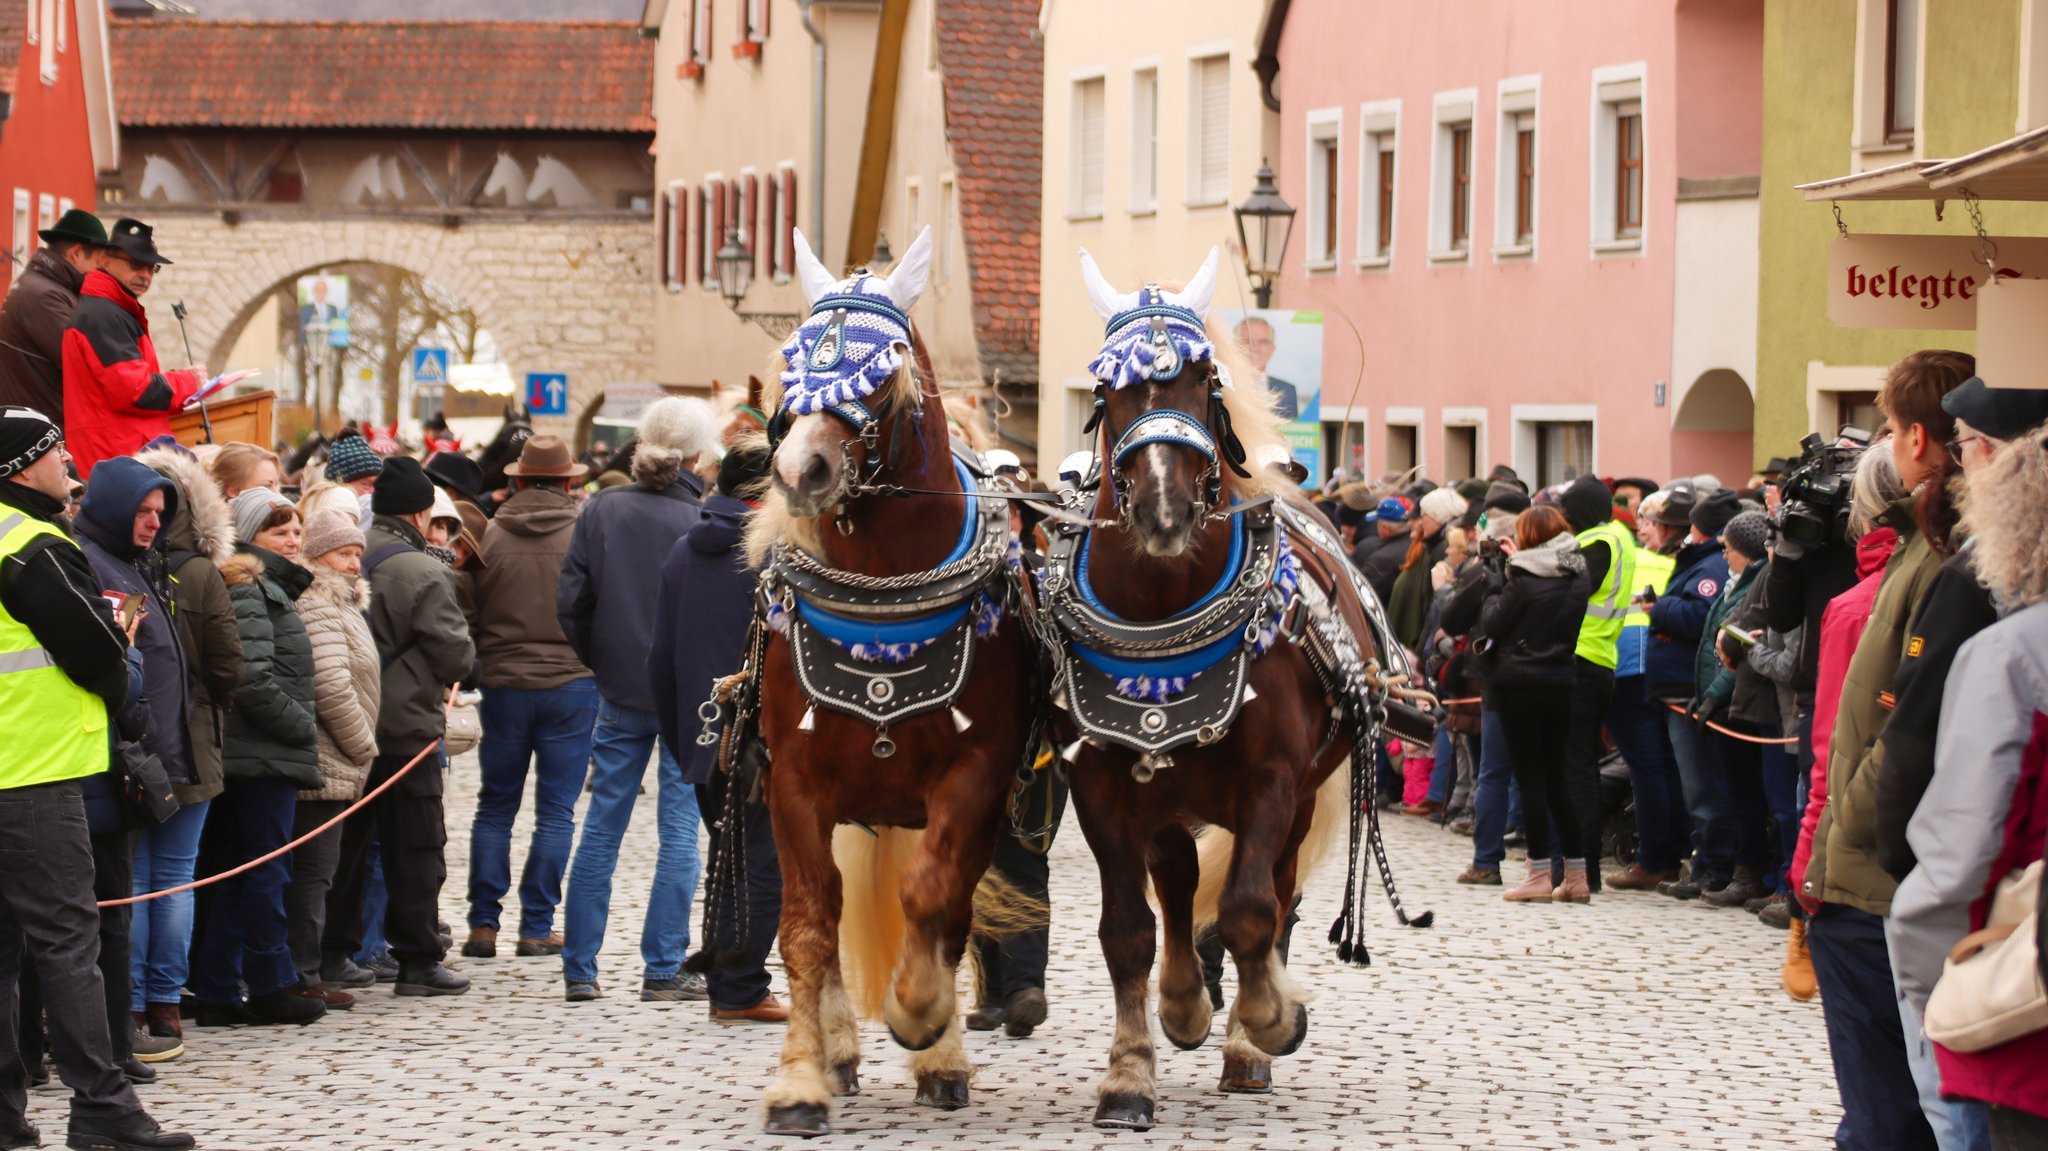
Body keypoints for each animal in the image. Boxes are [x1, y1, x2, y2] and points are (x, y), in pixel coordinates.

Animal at [749, 228, 1040, 1130]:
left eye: (882, 372)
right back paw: (840, 1048)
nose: (799, 469)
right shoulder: (795, 782)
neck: (885, 594)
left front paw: (924, 1018)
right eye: (792, 362)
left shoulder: (975, 779)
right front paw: (800, 1077)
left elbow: (932, 898)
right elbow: (808, 926)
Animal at [1056, 248, 1409, 1122]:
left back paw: (1248, 1033)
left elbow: (1251, 911)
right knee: (1182, 880)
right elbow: (1129, 929)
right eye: (1108, 390)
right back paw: (1186, 1001)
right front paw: (1132, 1067)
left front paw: (1270, 1020)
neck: (1164, 612)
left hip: (1299, 796)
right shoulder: (1106, 785)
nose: (1164, 508)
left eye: (1203, 379)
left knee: (1272, 896)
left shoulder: (1271, 780)